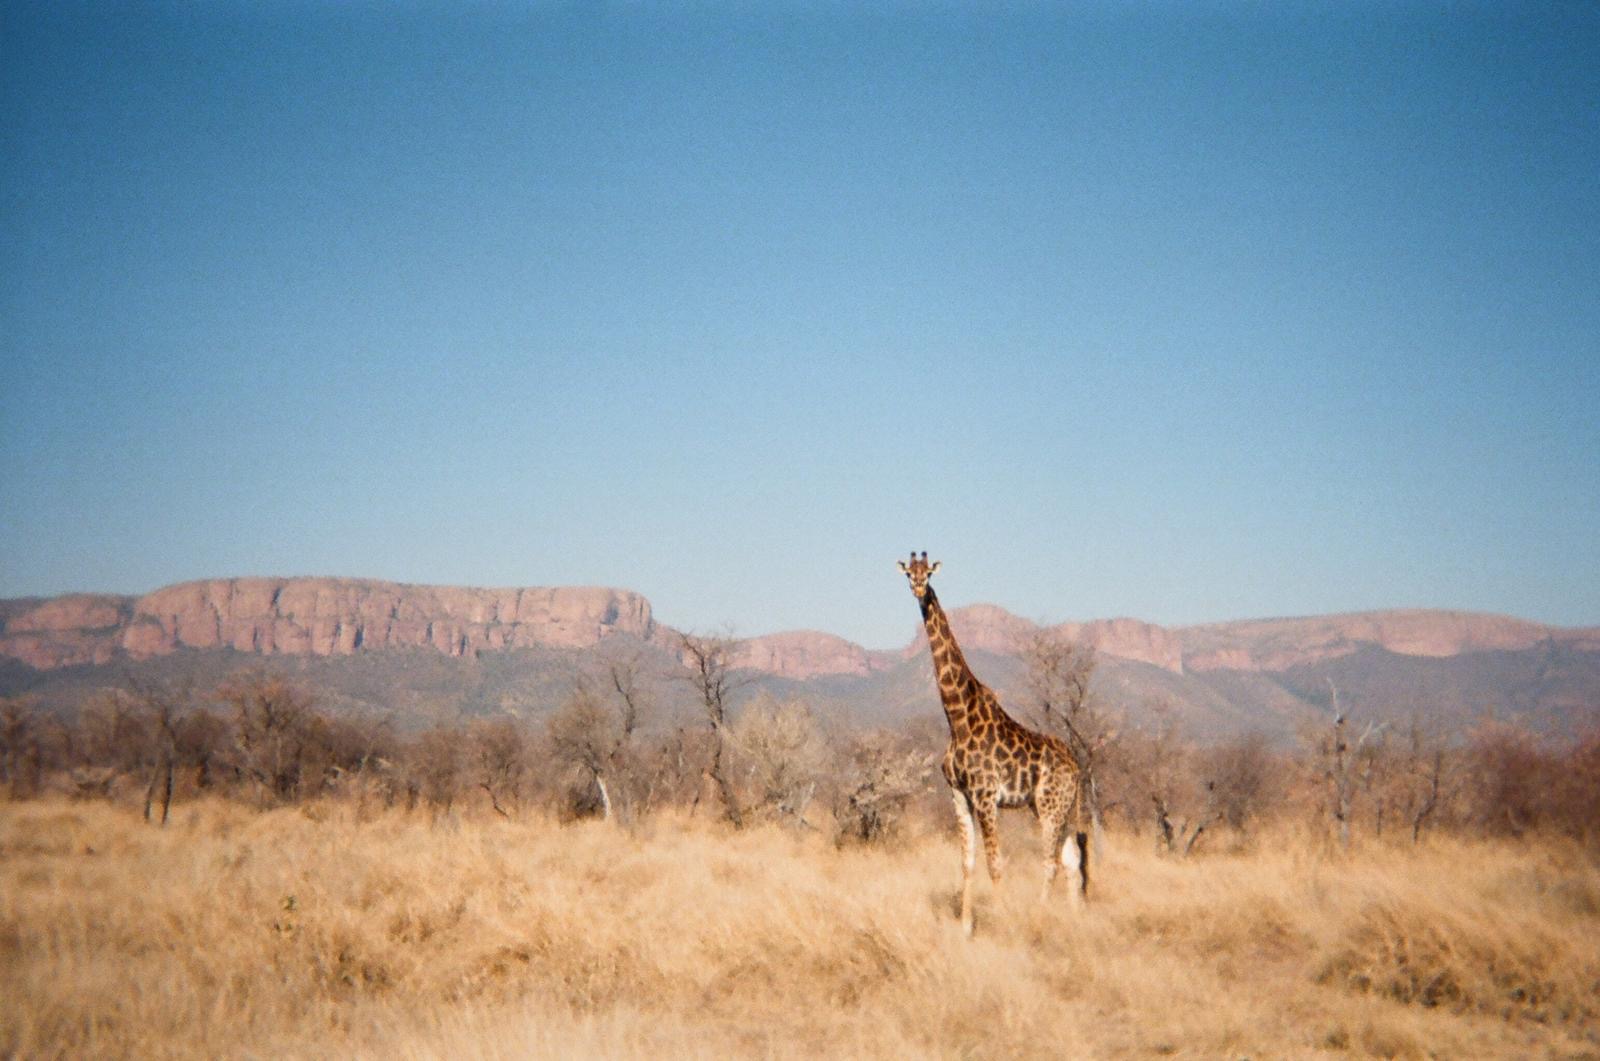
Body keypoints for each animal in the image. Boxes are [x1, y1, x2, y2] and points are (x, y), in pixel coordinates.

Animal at [898, 551, 1088, 935]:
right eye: (909, 573)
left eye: (929, 573)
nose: (919, 588)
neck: (957, 717)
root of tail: (1076, 767)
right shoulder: (959, 794)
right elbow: (968, 862)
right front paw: (965, 927)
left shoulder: (986, 796)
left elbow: (995, 863)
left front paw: (1002, 923)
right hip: (1052, 807)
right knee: (1071, 861)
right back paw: (1074, 921)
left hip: (1051, 807)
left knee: (1051, 863)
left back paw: (1038, 918)